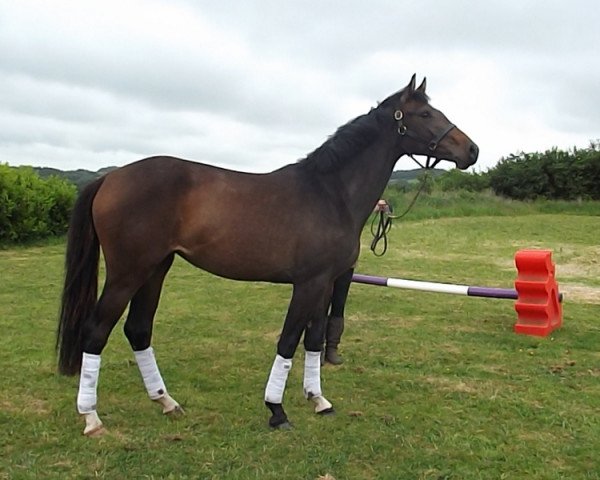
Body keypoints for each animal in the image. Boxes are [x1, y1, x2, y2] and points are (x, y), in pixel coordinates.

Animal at [56, 74, 478, 436]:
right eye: (425, 114)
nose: (471, 150)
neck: (330, 193)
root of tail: (111, 177)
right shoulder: (308, 284)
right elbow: (288, 340)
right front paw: (277, 410)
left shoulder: (326, 283)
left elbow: (314, 339)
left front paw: (319, 400)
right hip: (128, 272)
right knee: (96, 331)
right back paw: (91, 418)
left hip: (156, 268)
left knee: (138, 329)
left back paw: (167, 402)